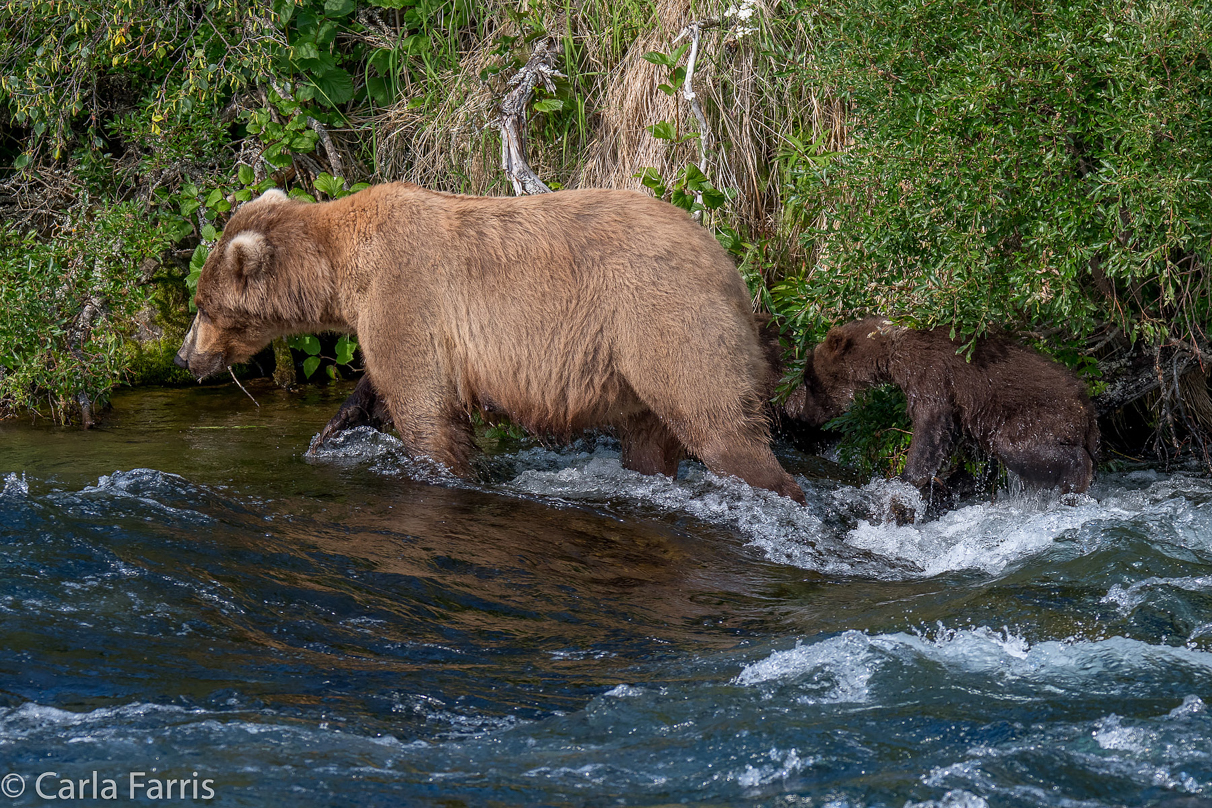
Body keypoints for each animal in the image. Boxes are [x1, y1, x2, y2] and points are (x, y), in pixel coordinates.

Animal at [170, 184, 804, 501]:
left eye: (201, 305)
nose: (183, 355)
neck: (346, 272)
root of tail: (729, 267)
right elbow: (374, 391)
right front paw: (327, 437)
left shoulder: (407, 297)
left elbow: (426, 411)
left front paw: (449, 471)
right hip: (638, 362)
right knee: (651, 439)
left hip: (666, 320)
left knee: (719, 423)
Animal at [785, 319, 1100, 496]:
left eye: (810, 380)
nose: (801, 415)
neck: (890, 352)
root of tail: (1087, 407)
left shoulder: (930, 373)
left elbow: (930, 424)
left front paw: (908, 477)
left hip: (1040, 415)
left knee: (1018, 446)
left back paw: (1075, 478)